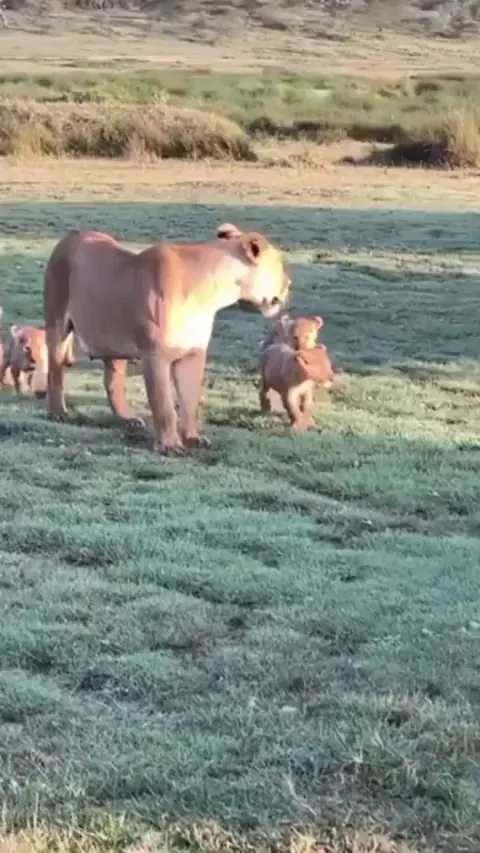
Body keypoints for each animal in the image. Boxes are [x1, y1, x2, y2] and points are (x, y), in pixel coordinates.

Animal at [43, 223, 291, 454]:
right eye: (279, 265)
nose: (289, 284)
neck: (212, 293)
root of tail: (73, 235)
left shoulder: (193, 354)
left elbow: (189, 402)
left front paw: (192, 438)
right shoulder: (155, 356)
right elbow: (164, 406)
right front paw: (170, 446)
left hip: (112, 340)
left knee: (112, 381)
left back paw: (128, 420)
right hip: (57, 324)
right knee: (55, 371)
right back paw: (59, 412)